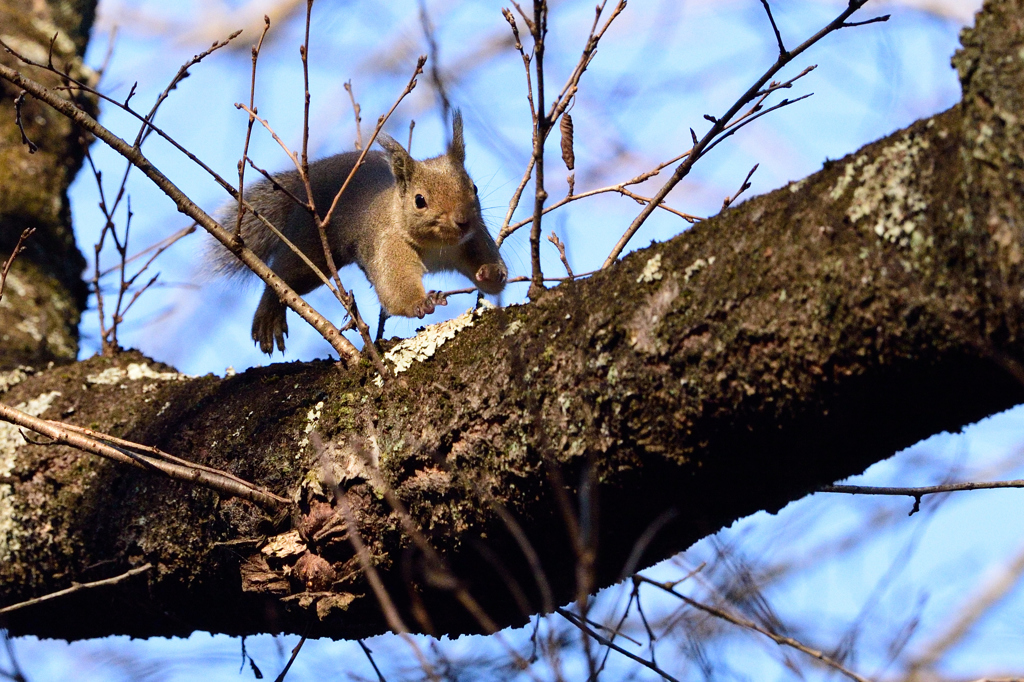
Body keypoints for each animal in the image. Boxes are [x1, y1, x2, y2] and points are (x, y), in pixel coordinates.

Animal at [211, 109, 507, 352]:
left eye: (474, 187)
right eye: (420, 200)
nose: (462, 221)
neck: (438, 246)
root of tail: (304, 182)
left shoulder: (473, 238)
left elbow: (490, 278)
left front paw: (491, 272)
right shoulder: (388, 245)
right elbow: (395, 290)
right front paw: (420, 302)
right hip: (310, 250)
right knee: (283, 275)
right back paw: (269, 314)